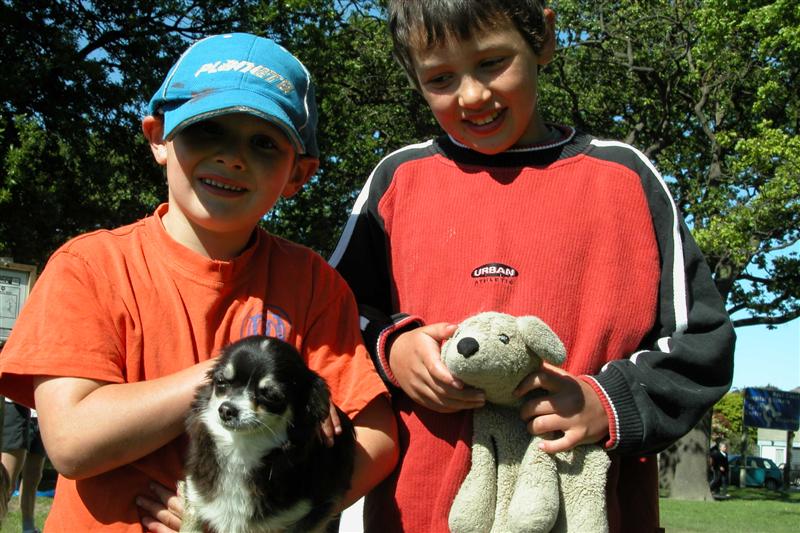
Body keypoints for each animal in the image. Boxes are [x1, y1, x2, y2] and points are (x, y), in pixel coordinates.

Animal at [180, 335, 356, 533]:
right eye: (221, 382)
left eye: (271, 396)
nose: (226, 410)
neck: (240, 449)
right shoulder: (195, 498)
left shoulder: (308, 515)